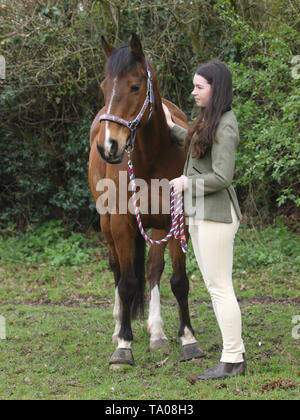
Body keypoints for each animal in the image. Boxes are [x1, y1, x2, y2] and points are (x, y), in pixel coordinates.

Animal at [87, 34, 204, 366]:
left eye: (135, 86)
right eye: (104, 86)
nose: (109, 145)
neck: (150, 160)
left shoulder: (178, 223)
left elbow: (178, 281)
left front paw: (187, 339)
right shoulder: (122, 225)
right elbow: (126, 283)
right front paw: (123, 347)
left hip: (158, 226)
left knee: (153, 269)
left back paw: (157, 333)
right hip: (107, 225)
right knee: (117, 269)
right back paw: (119, 327)